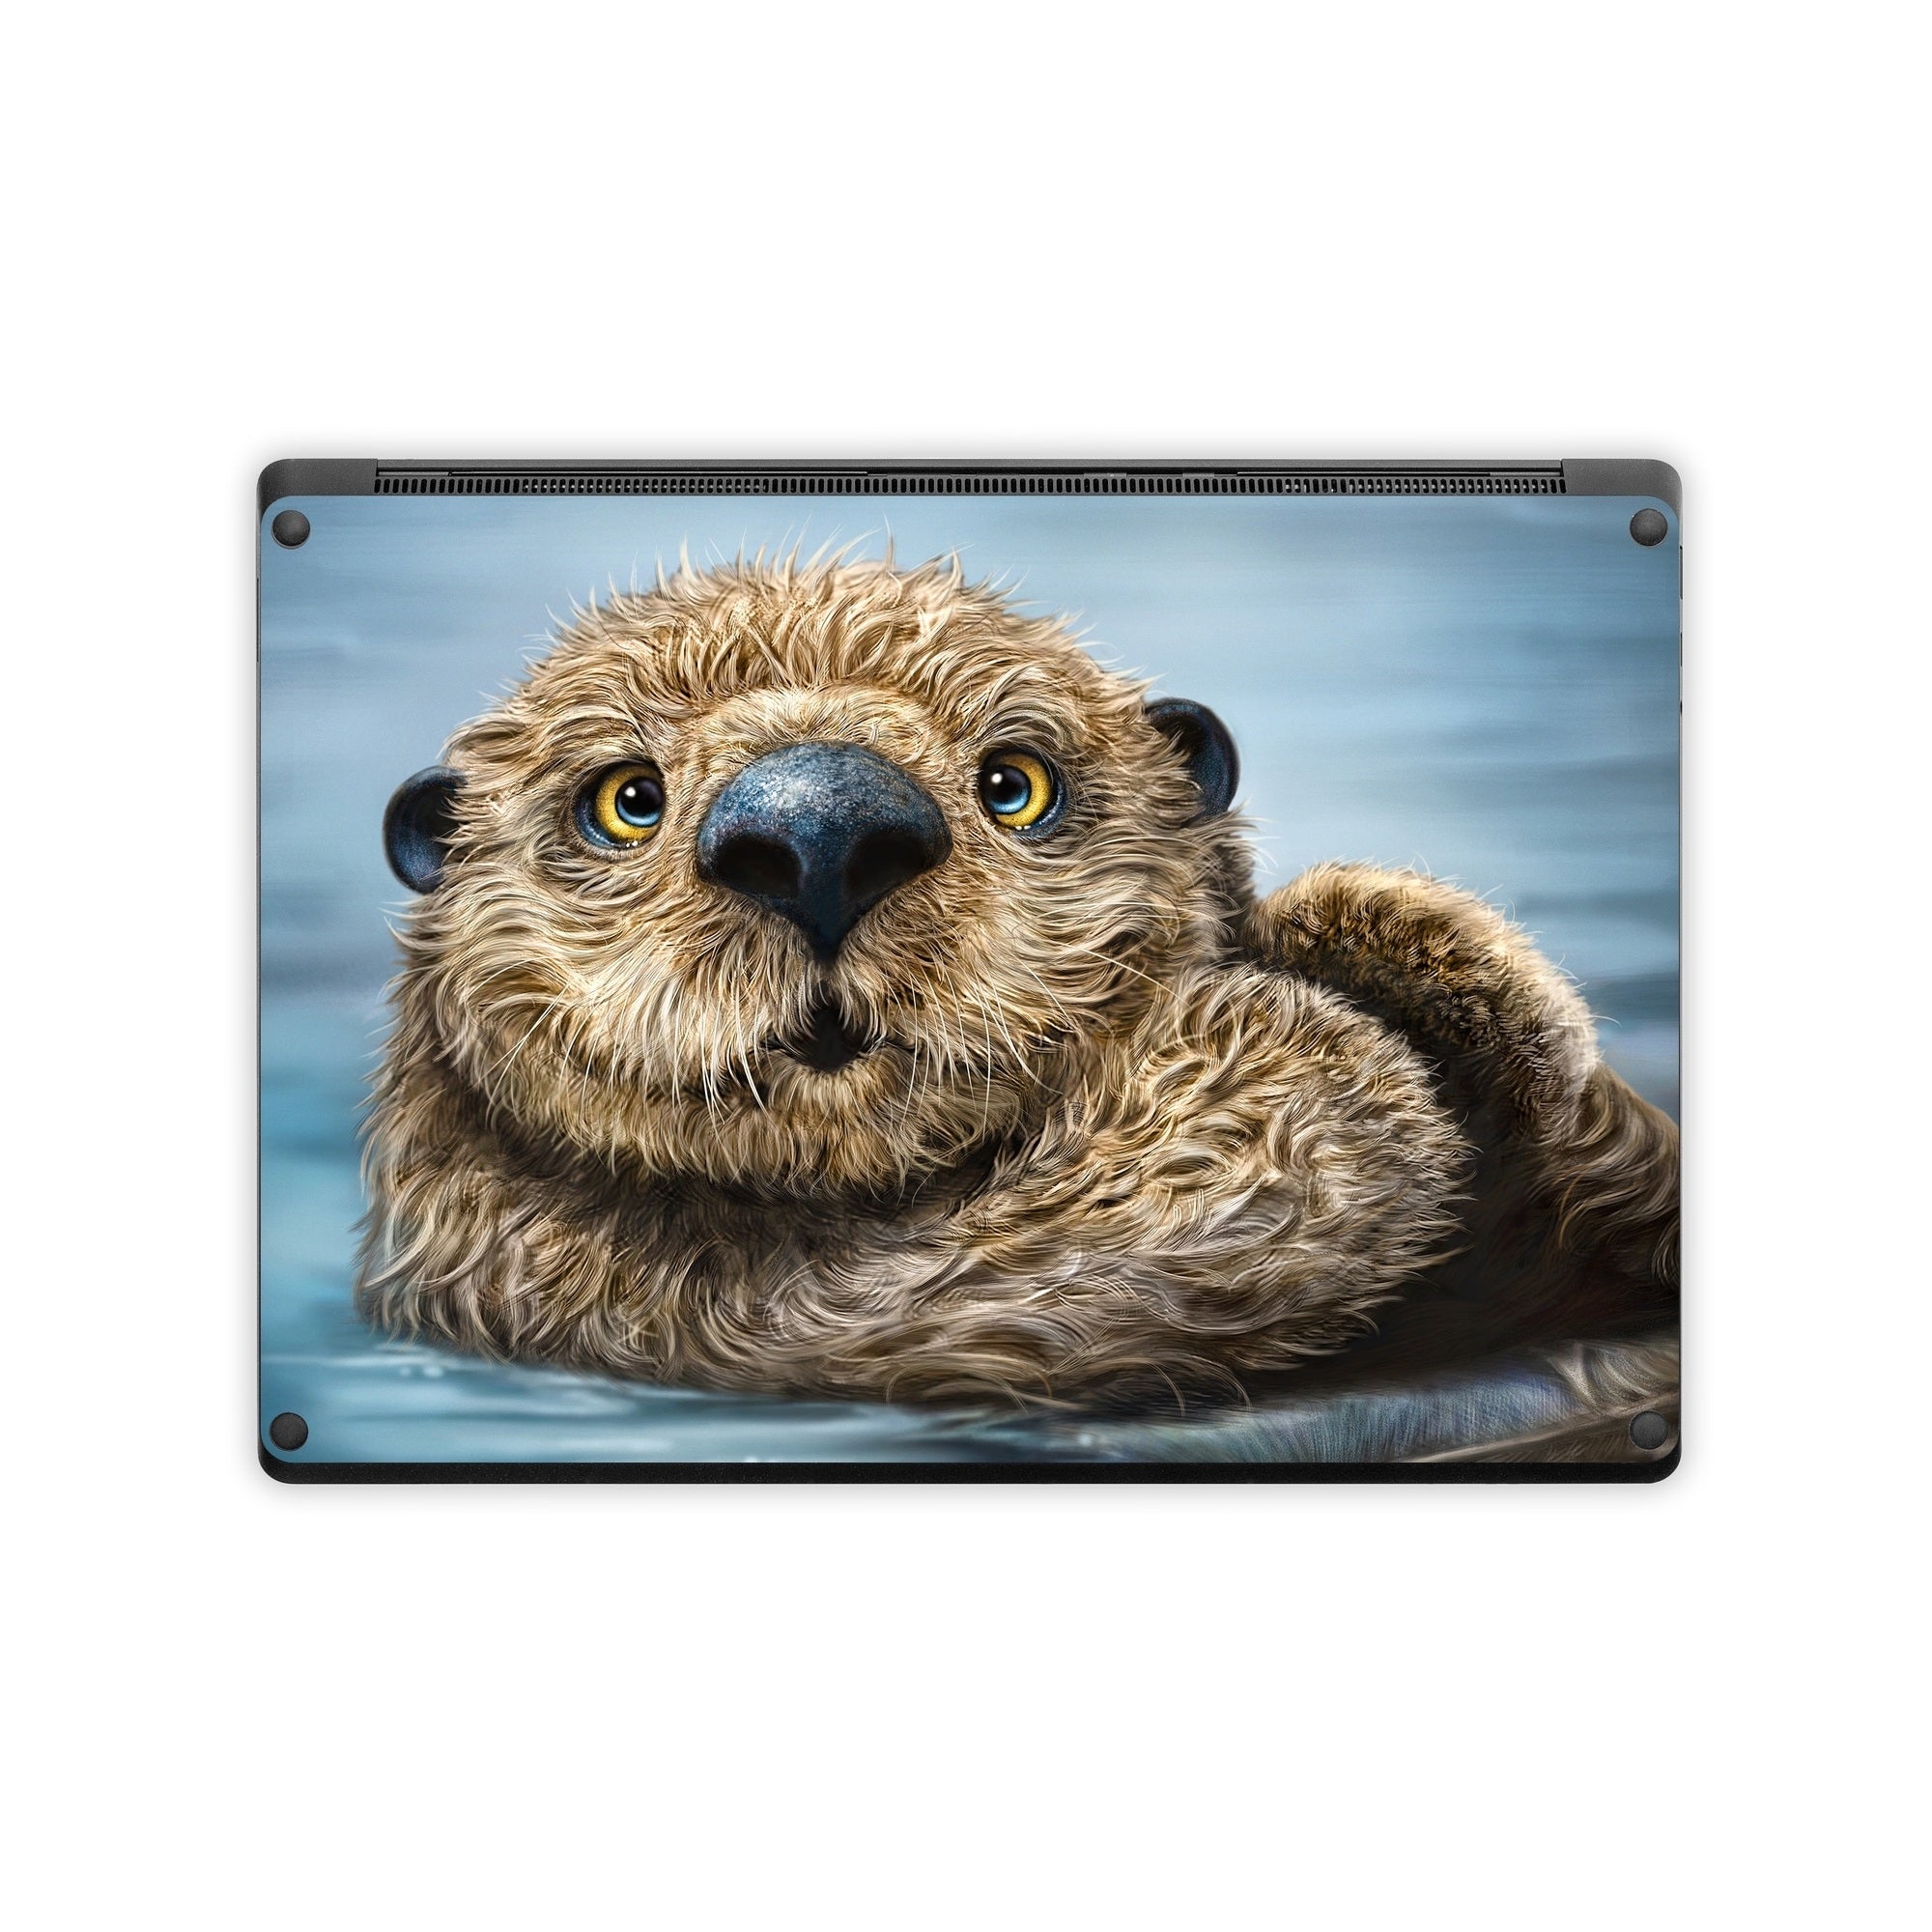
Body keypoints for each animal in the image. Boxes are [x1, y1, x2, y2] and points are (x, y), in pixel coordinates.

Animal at [360, 553, 1677, 1434]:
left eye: (1014, 782)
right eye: (625, 799)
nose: (821, 829)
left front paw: (1386, 929)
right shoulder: (679, 1306)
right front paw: (1301, 1035)